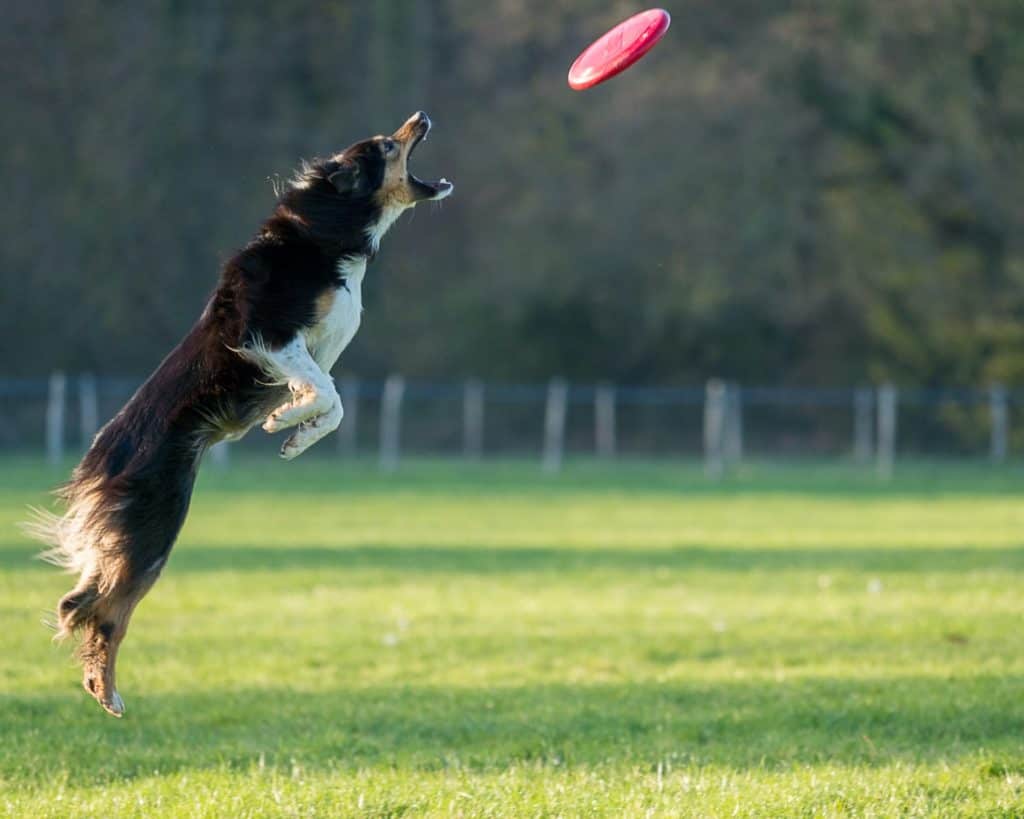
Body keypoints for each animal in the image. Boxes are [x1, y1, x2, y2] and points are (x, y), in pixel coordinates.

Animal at [24, 110, 452, 716]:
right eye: (387, 146)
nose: (421, 116)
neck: (326, 231)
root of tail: (101, 454)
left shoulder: (307, 352)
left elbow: (335, 405)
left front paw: (295, 432)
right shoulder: (270, 337)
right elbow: (330, 393)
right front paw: (286, 421)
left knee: (90, 603)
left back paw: (99, 688)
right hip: (154, 529)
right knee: (98, 610)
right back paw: (106, 691)